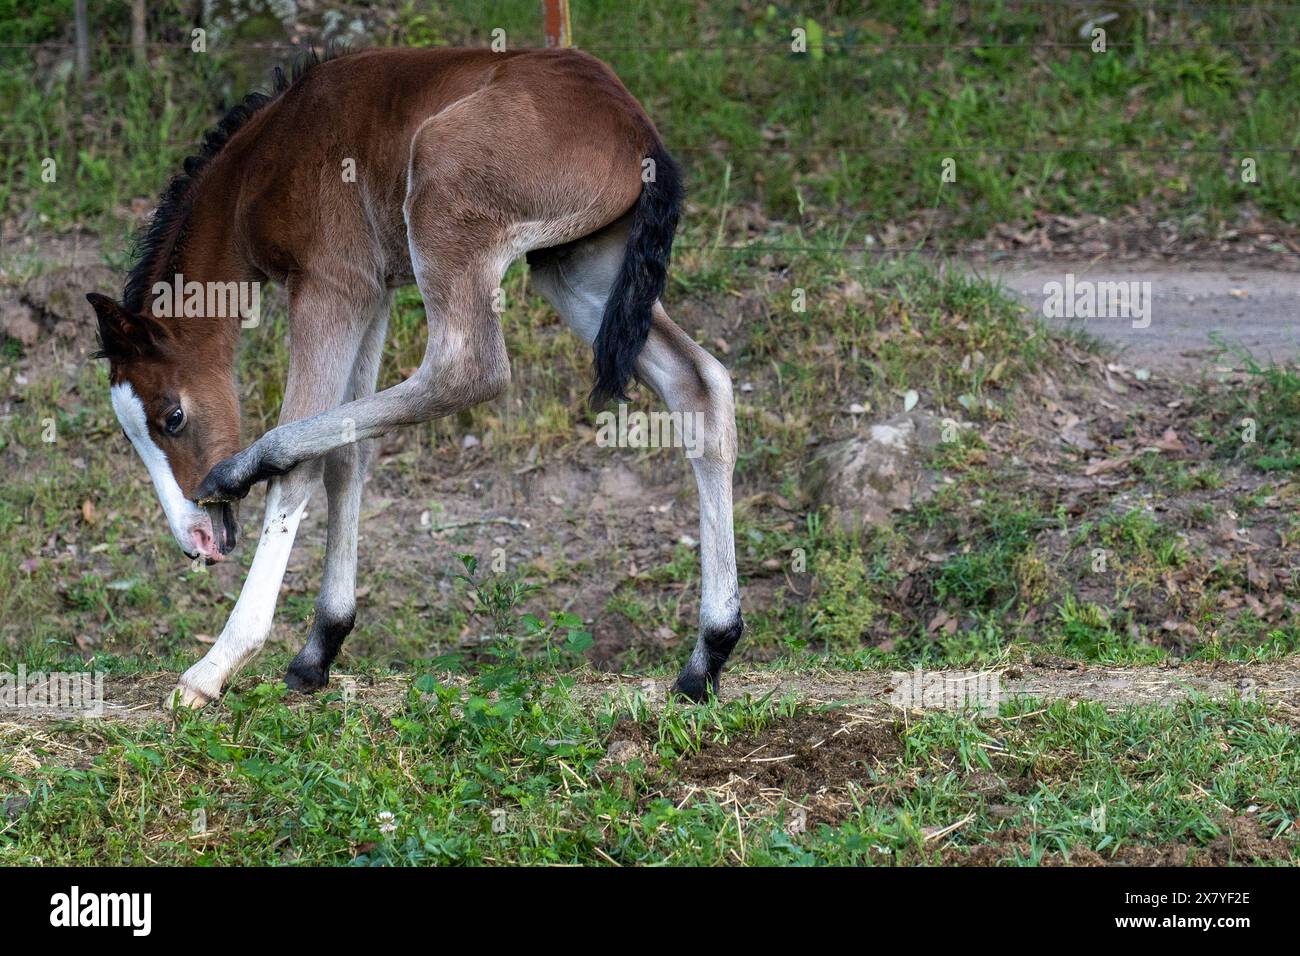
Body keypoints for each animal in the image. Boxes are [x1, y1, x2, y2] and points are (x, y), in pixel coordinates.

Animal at [89, 50, 743, 712]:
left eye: (172, 416)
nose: (195, 536)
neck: (260, 163)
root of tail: (636, 126)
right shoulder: (374, 293)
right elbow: (347, 452)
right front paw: (320, 646)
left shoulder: (331, 284)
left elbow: (301, 466)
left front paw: (216, 664)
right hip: (580, 265)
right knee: (700, 384)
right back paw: (707, 655)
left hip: (448, 201)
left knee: (468, 368)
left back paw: (244, 467)